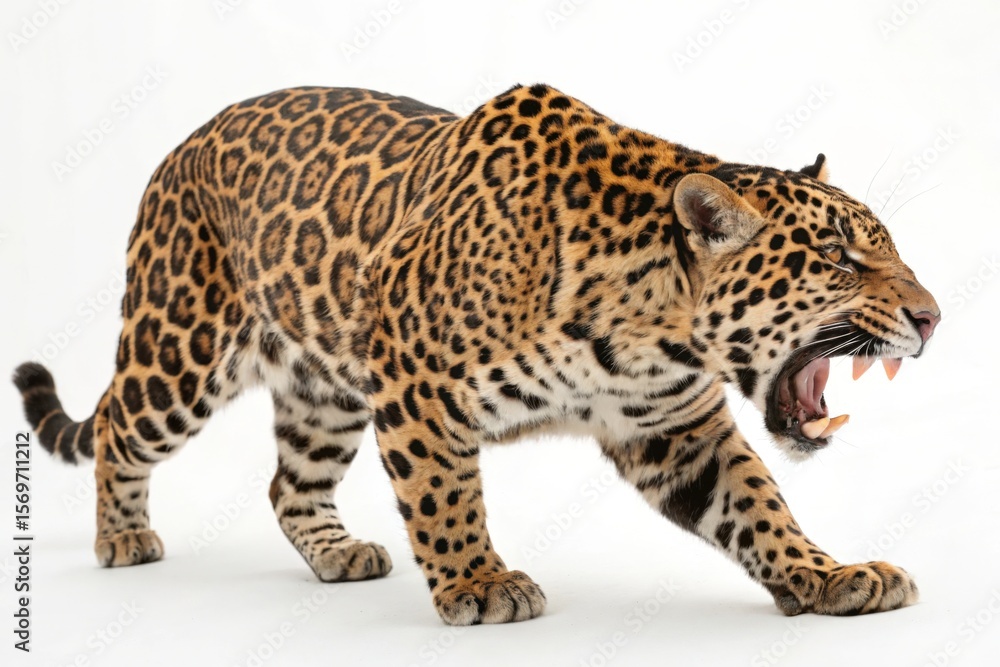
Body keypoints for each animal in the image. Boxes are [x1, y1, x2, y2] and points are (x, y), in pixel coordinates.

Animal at [13, 83, 940, 625]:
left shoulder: (675, 428)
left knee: (288, 483)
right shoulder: (414, 378)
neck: (651, 326)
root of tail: (183, 144)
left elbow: (758, 502)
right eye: (839, 258)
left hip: (322, 391)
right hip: (181, 349)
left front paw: (828, 573)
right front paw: (478, 584)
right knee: (121, 429)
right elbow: (444, 492)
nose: (932, 318)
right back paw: (123, 537)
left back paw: (337, 553)